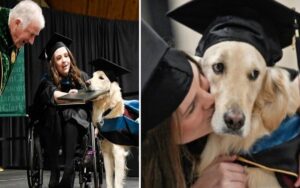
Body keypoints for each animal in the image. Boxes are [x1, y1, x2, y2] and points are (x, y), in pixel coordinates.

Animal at [86, 58, 136, 188]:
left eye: (101, 78)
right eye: (92, 76)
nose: (86, 83)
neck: (106, 110)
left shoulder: (118, 152)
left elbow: (117, 181)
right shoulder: (106, 152)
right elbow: (109, 179)